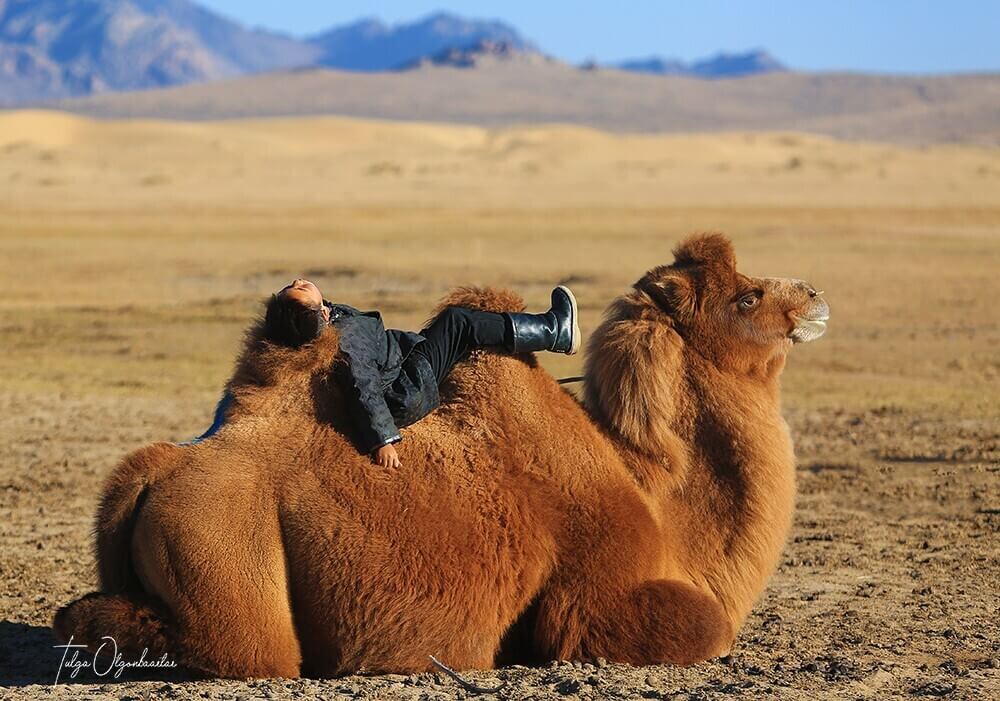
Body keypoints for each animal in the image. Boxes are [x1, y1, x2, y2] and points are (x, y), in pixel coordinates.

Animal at [52, 232, 828, 676]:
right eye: (747, 296)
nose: (814, 295)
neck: (657, 501)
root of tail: (153, 470)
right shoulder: (590, 601)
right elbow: (706, 626)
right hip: (229, 556)